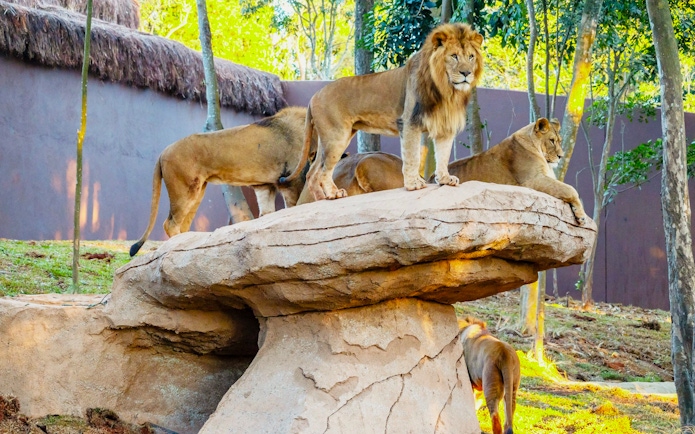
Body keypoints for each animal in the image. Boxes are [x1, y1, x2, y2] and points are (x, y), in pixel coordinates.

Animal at [129, 106, 317, 256]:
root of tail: (163, 152)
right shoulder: (291, 181)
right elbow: (293, 210)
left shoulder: (266, 186)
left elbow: (268, 215)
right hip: (184, 190)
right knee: (170, 224)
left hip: (197, 191)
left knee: (182, 225)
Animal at [279, 22, 483, 201]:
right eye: (454, 56)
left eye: (471, 57)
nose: (467, 73)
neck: (446, 90)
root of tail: (314, 96)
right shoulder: (409, 122)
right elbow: (412, 156)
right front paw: (413, 184)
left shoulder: (444, 127)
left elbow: (443, 155)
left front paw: (445, 180)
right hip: (337, 136)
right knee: (323, 171)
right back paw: (333, 194)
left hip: (327, 139)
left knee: (313, 173)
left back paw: (322, 199)